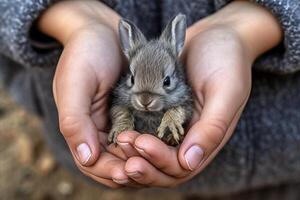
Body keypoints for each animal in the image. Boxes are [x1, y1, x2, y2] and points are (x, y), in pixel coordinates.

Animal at [109, 13, 193, 145]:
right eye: (132, 78)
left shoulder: (185, 102)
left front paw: (170, 124)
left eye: (167, 81)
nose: (145, 101)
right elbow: (121, 112)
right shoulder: (118, 102)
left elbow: (177, 111)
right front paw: (121, 129)